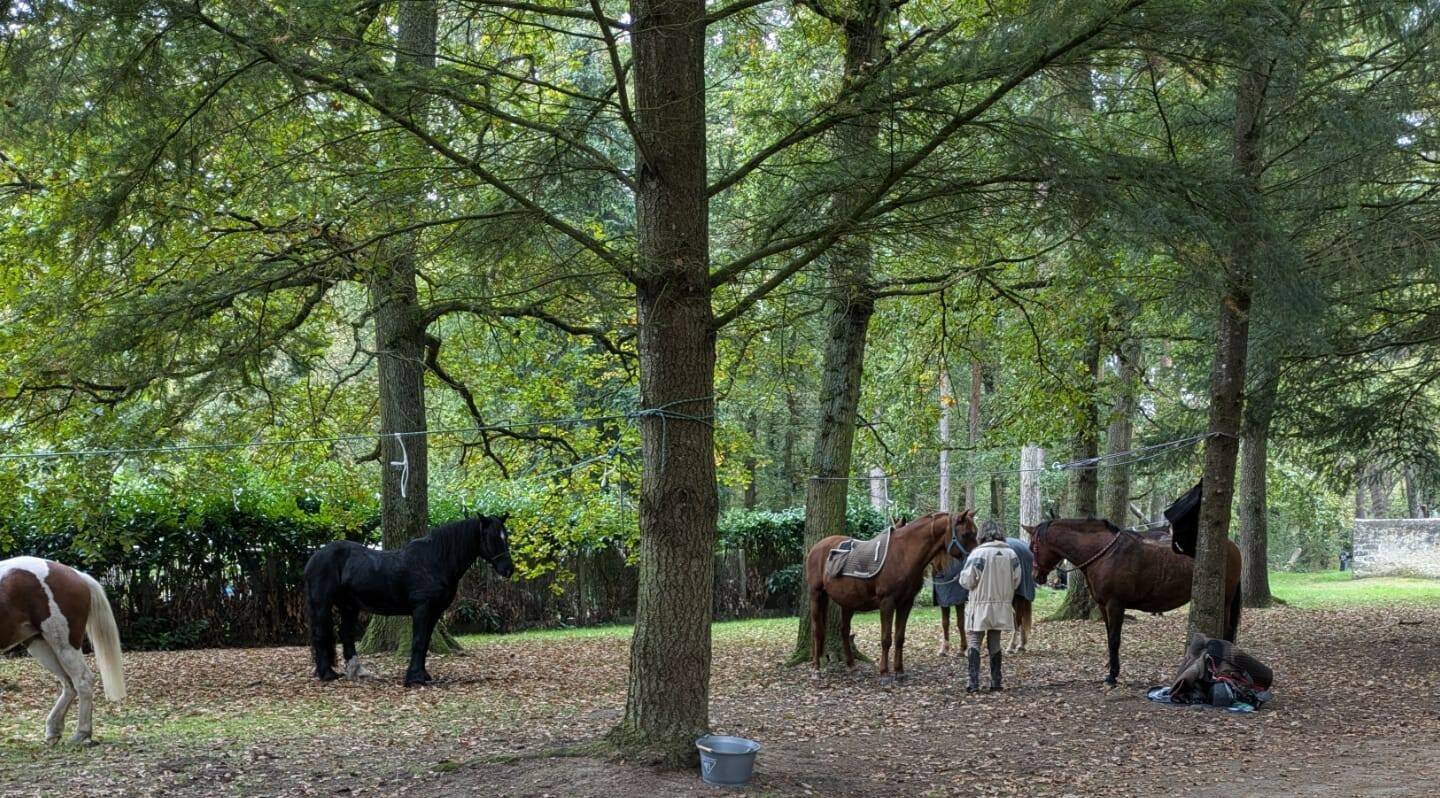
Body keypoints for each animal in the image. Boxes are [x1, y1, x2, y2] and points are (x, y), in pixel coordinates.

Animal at [0, 556, 126, 743]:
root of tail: (76, 575)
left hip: (64, 645)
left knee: (82, 680)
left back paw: (81, 733)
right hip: (41, 645)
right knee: (69, 684)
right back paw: (54, 730)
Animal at [300, 512, 515, 685]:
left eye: (506, 536)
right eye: (492, 537)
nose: (508, 570)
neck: (435, 560)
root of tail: (314, 558)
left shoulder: (435, 611)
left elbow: (425, 642)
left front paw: (423, 675)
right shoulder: (422, 608)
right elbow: (418, 641)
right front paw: (415, 679)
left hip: (349, 606)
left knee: (346, 635)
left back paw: (356, 671)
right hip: (322, 604)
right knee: (320, 635)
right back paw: (327, 674)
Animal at [800, 507, 979, 679]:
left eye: (975, 532)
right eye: (966, 534)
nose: (975, 559)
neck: (903, 555)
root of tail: (816, 548)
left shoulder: (906, 603)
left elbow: (899, 637)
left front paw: (899, 671)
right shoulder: (887, 602)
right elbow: (886, 638)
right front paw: (884, 673)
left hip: (847, 602)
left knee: (844, 631)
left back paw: (851, 666)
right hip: (816, 594)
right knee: (817, 631)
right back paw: (816, 669)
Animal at [1031, 515, 1244, 682]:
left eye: (1033, 546)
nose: (1036, 576)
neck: (1106, 554)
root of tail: (1232, 546)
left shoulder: (1115, 604)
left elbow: (1114, 639)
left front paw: (1112, 676)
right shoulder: (1103, 606)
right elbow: (1108, 636)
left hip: (1226, 600)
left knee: (1227, 630)